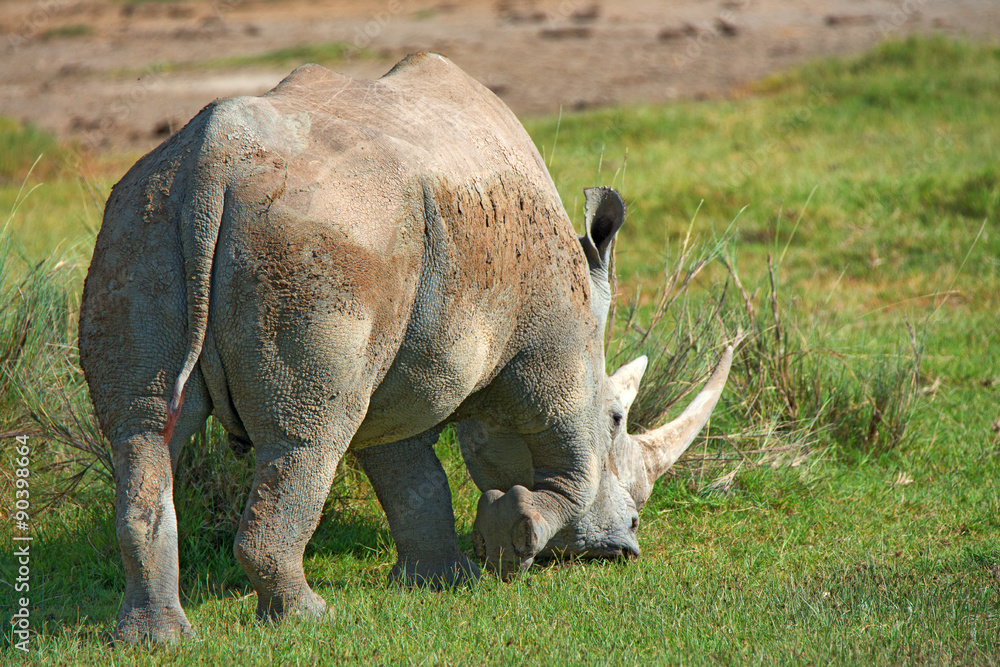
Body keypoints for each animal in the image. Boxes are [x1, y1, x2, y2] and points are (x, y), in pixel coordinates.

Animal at [79, 52, 733, 643]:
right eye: (618, 417)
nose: (622, 546)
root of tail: (212, 163)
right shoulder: (554, 351)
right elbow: (571, 470)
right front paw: (511, 538)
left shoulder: (409, 368)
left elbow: (412, 476)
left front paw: (445, 581)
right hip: (321, 244)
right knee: (307, 439)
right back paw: (309, 620)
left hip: (143, 221)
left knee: (141, 428)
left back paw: (152, 639)